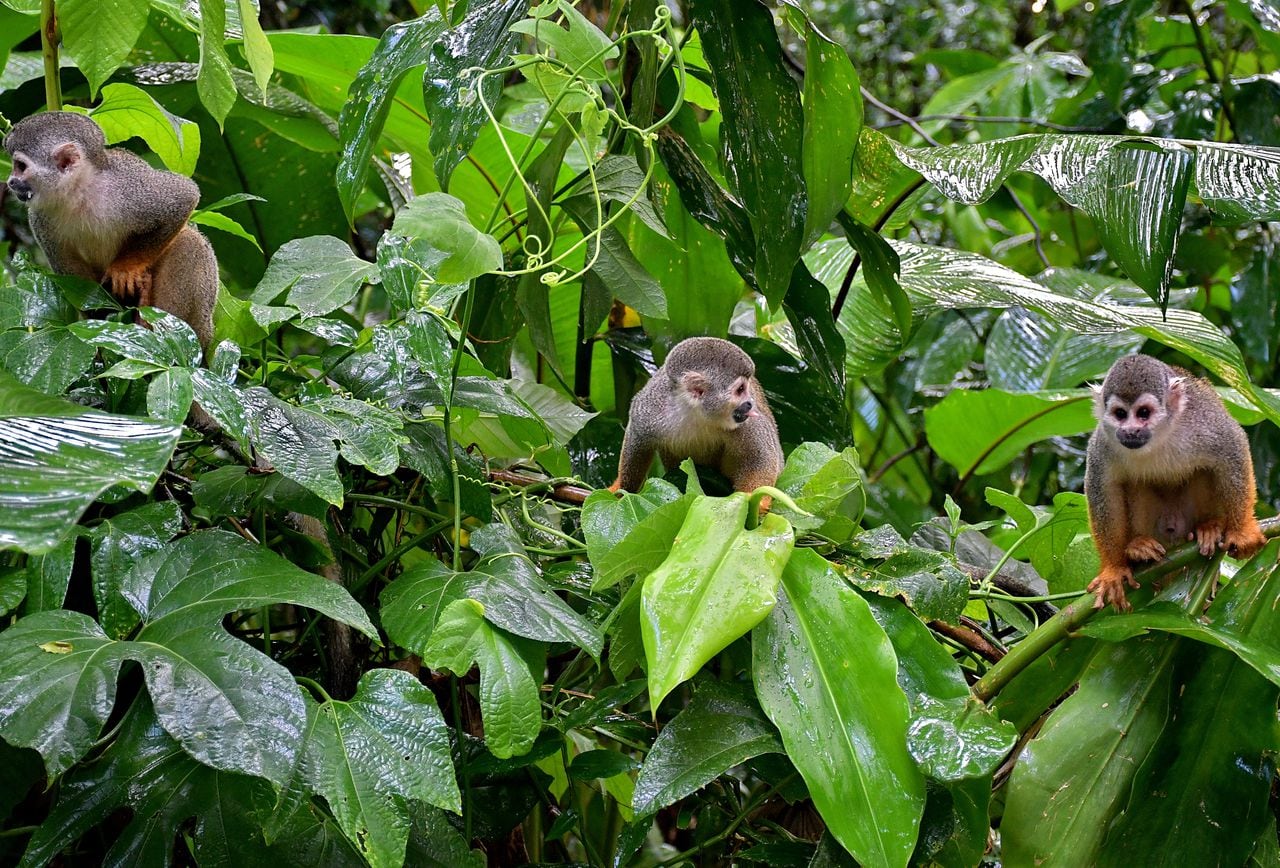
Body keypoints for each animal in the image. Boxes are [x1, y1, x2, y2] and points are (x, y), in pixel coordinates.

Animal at [3, 112, 217, 350]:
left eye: (20, 166)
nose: (10, 182)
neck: (79, 193)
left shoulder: (128, 187)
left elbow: (184, 196)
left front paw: (125, 268)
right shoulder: (39, 217)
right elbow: (70, 271)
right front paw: (97, 319)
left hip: (203, 326)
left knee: (191, 241)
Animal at [606, 337, 778, 504]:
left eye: (746, 389)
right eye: (740, 389)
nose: (750, 403)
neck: (696, 412)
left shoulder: (745, 424)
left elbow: (760, 458)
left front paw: (753, 503)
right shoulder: (652, 409)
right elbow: (638, 439)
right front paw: (621, 490)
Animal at [1080, 353, 1269, 611]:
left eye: (1143, 413)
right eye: (1120, 414)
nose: (1130, 431)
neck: (1159, 438)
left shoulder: (1203, 422)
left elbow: (1232, 446)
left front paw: (1242, 531)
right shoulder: (1104, 444)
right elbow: (1103, 489)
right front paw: (1113, 569)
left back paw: (1210, 526)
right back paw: (1138, 549)